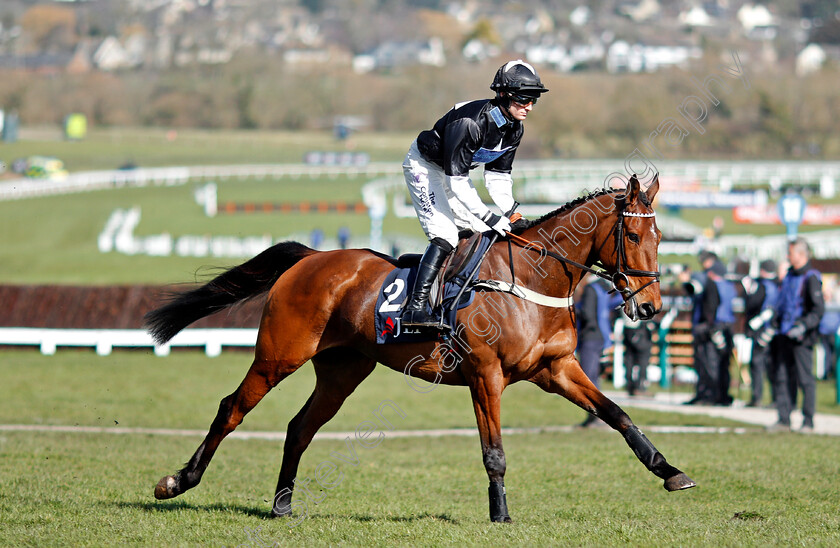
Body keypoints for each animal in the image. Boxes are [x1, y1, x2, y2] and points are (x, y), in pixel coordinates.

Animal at [146, 174, 696, 524]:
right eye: (632, 234)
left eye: (661, 235)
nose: (650, 306)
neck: (532, 280)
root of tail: (311, 257)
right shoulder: (485, 375)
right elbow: (494, 452)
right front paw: (500, 513)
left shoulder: (556, 368)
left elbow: (618, 415)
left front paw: (670, 471)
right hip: (278, 355)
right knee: (231, 408)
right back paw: (177, 481)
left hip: (343, 371)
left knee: (299, 428)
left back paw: (282, 506)